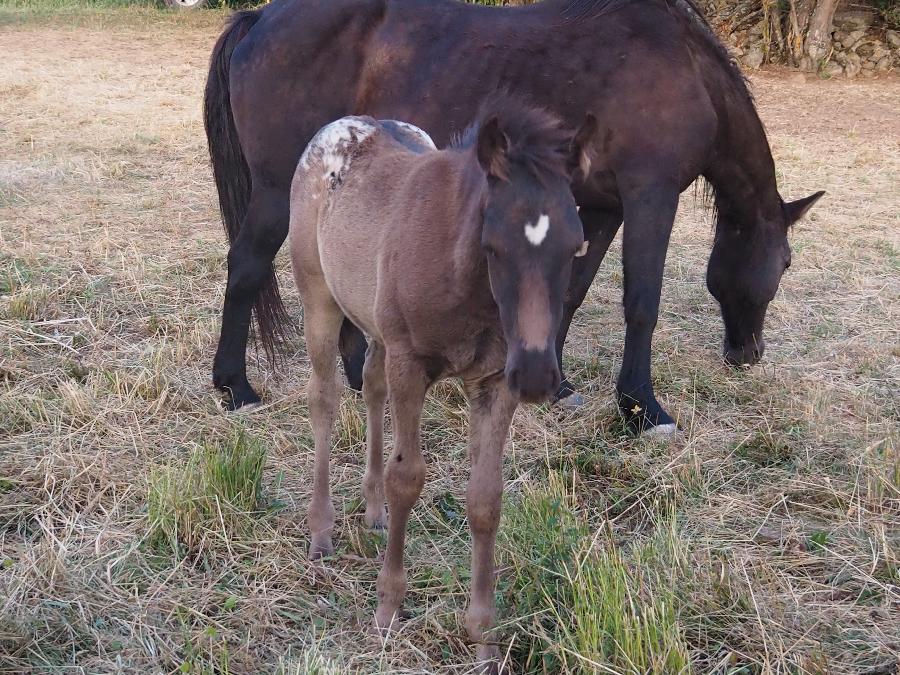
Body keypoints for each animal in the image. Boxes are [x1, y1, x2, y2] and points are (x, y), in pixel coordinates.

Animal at [205, 0, 824, 434]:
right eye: (785, 263)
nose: (749, 354)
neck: (684, 66)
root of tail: (261, 17)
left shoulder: (601, 207)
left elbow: (570, 292)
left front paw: (559, 386)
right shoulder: (651, 197)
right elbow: (641, 303)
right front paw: (642, 410)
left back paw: (361, 378)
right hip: (277, 192)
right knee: (246, 267)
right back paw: (235, 389)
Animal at [289, 99, 597, 670]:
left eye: (576, 248)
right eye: (493, 246)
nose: (538, 375)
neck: (465, 279)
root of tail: (341, 126)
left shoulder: (495, 382)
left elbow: (485, 499)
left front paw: (484, 636)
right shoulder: (411, 364)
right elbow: (407, 477)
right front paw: (387, 610)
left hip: (376, 325)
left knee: (371, 386)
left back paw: (373, 511)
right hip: (318, 297)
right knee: (324, 399)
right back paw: (321, 530)